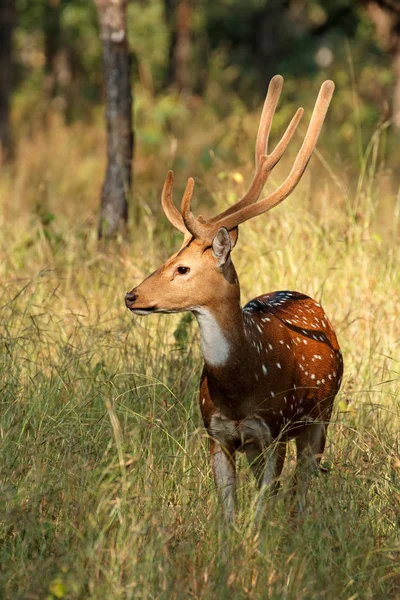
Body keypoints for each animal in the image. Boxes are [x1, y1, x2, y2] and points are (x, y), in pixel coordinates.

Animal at [126, 75, 344, 524]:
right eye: (167, 258)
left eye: (183, 269)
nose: (131, 295)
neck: (241, 387)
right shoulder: (218, 434)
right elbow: (227, 515)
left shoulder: (274, 430)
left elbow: (261, 511)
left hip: (320, 417)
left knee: (303, 486)